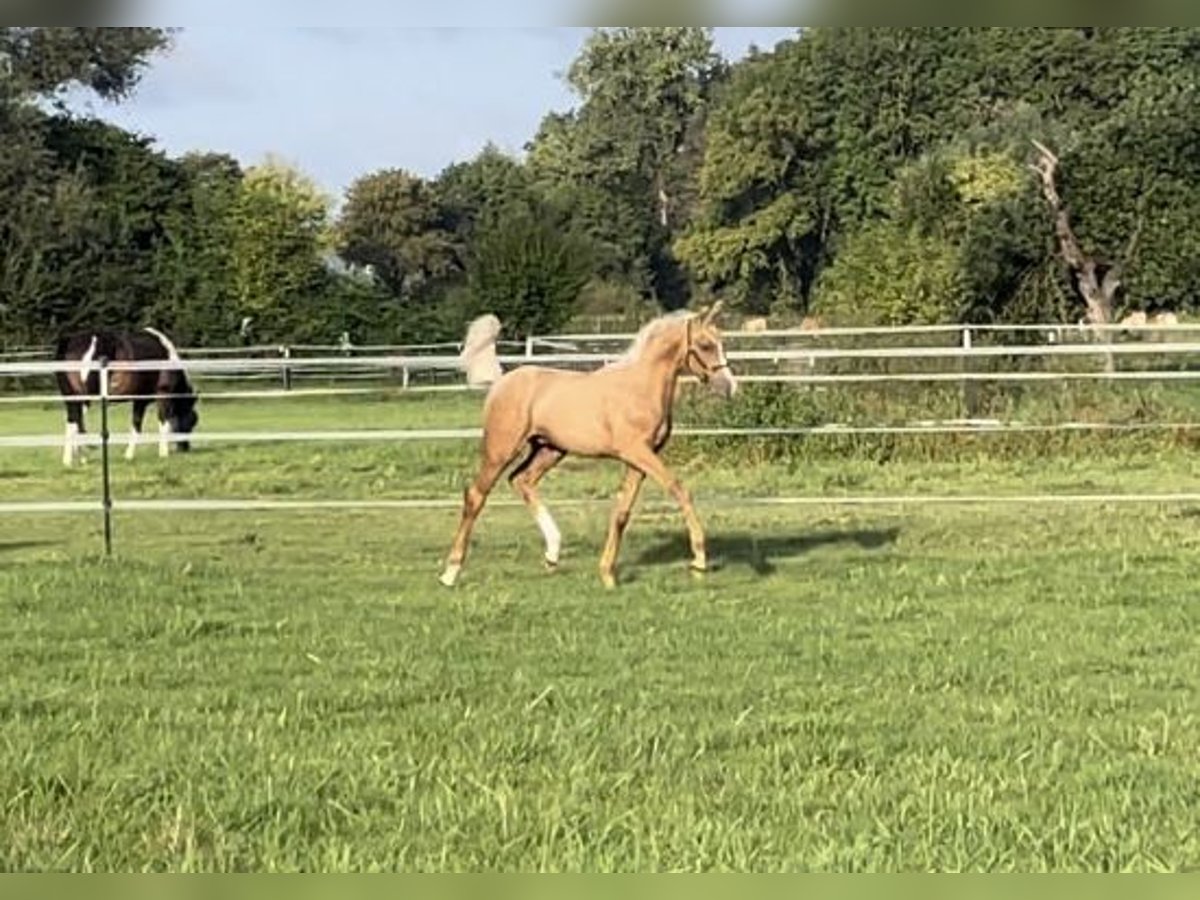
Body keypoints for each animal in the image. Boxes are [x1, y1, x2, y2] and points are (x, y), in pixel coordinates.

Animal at [54, 326, 198, 465]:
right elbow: (161, 422)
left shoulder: (140, 400)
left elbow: (136, 424)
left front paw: (128, 456)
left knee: (72, 422)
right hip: (83, 398)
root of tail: (70, 341)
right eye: (192, 421)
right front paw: (163, 454)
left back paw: (74, 459)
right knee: (76, 422)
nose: (185, 448)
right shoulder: (163, 395)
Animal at [441, 303, 734, 592]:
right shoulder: (637, 452)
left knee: (521, 480)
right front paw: (699, 561)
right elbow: (680, 489)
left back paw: (552, 554)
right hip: (501, 449)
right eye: (706, 345)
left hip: (549, 449)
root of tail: (500, 382)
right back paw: (450, 572)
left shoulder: (639, 459)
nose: (729, 386)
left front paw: (607, 574)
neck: (639, 387)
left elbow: (622, 513)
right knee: (476, 496)